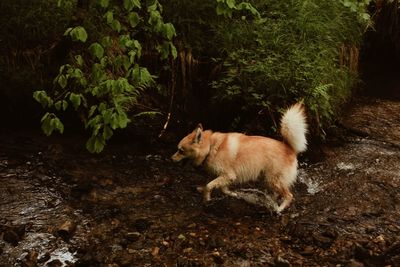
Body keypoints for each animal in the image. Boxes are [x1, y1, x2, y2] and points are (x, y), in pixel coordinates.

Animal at [170, 103, 308, 214]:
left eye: (180, 150)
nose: (171, 159)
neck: (211, 147)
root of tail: (289, 148)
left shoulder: (228, 175)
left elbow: (209, 186)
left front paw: (207, 199)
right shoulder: (226, 177)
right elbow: (222, 188)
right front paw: (233, 194)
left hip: (273, 180)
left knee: (289, 195)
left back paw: (279, 209)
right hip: (268, 179)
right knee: (277, 194)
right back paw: (270, 203)